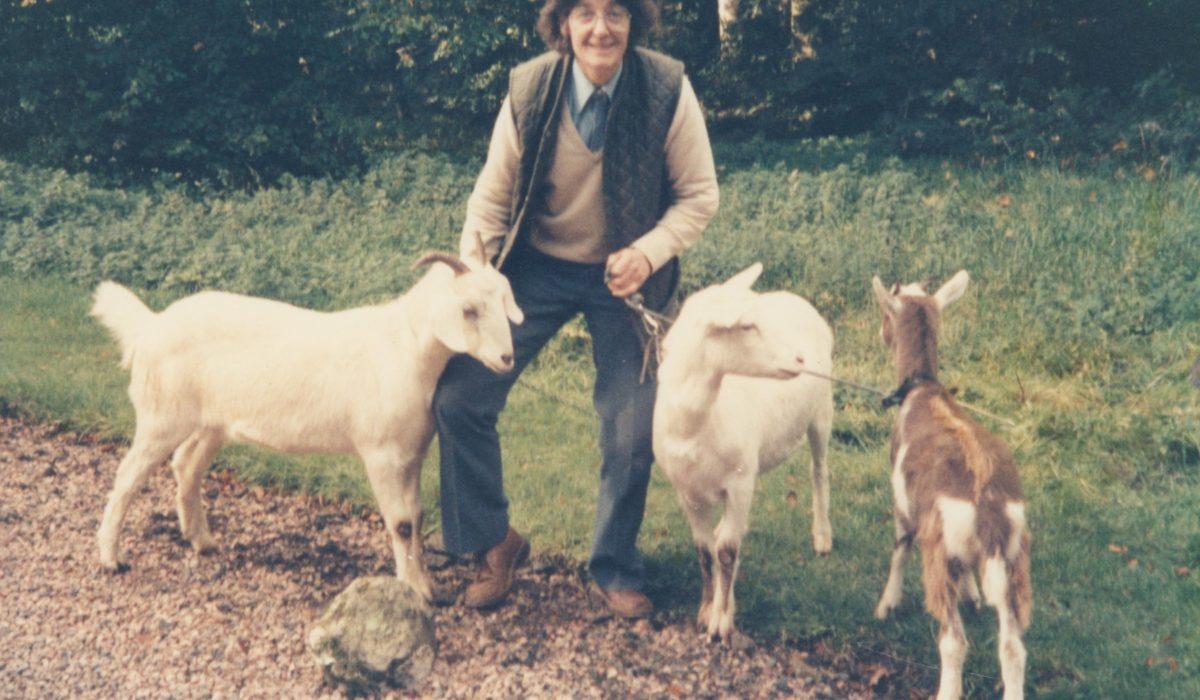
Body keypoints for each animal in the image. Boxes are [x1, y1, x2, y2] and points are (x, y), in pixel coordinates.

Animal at [657, 262, 835, 638]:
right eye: (747, 325)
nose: (799, 358)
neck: (697, 423)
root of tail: (795, 298)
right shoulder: (687, 492)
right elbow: (705, 551)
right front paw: (706, 609)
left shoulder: (739, 483)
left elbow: (727, 551)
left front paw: (721, 622)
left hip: (822, 413)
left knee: (819, 471)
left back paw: (822, 536)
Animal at [873, 272, 1032, 700]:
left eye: (886, 314)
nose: (881, 334)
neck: (923, 392)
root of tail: (988, 507)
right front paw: (973, 595)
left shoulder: (903, 505)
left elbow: (898, 549)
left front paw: (886, 605)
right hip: (1013, 561)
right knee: (1013, 647)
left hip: (939, 553)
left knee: (954, 641)